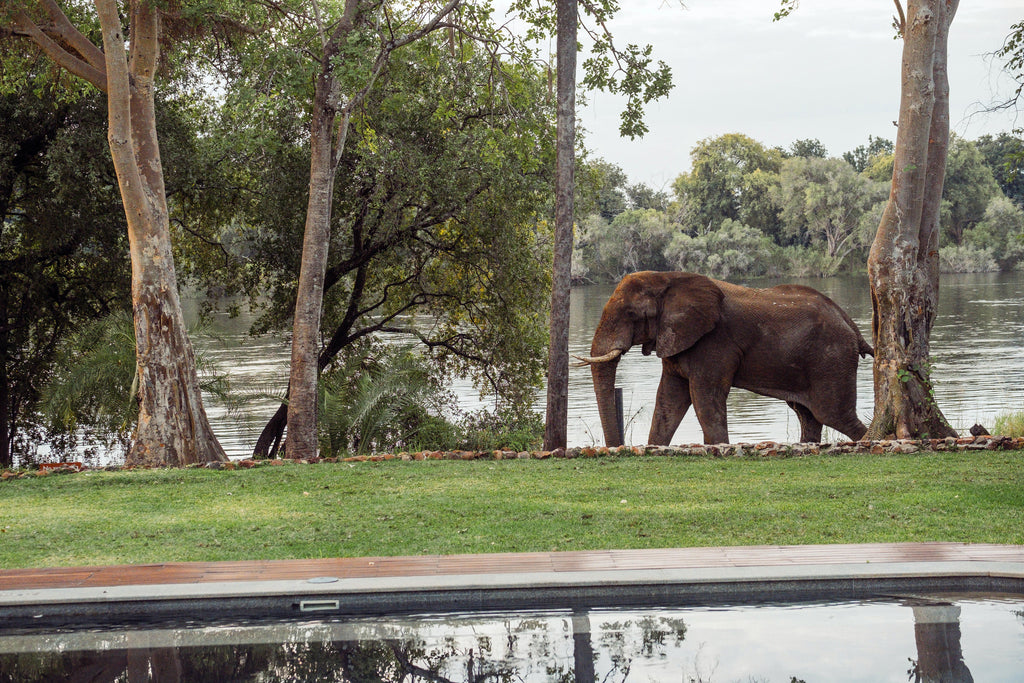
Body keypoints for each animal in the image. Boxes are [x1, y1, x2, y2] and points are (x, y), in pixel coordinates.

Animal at [577, 271, 873, 446]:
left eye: (630, 314)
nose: (618, 448)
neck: (668, 277)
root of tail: (850, 324)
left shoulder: (714, 342)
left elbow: (704, 399)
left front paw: (718, 448)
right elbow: (669, 401)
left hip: (831, 359)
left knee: (834, 415)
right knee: (809, 416)